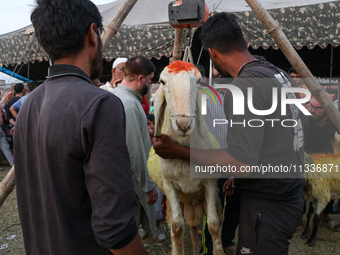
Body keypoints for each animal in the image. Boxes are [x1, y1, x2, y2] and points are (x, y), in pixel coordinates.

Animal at [147, 61, 224, 255]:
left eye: (197, 81)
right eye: (162, 82)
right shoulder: (169, 186)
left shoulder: (209, 183)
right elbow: (176, 227)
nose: (183, 125)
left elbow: (213, 225)